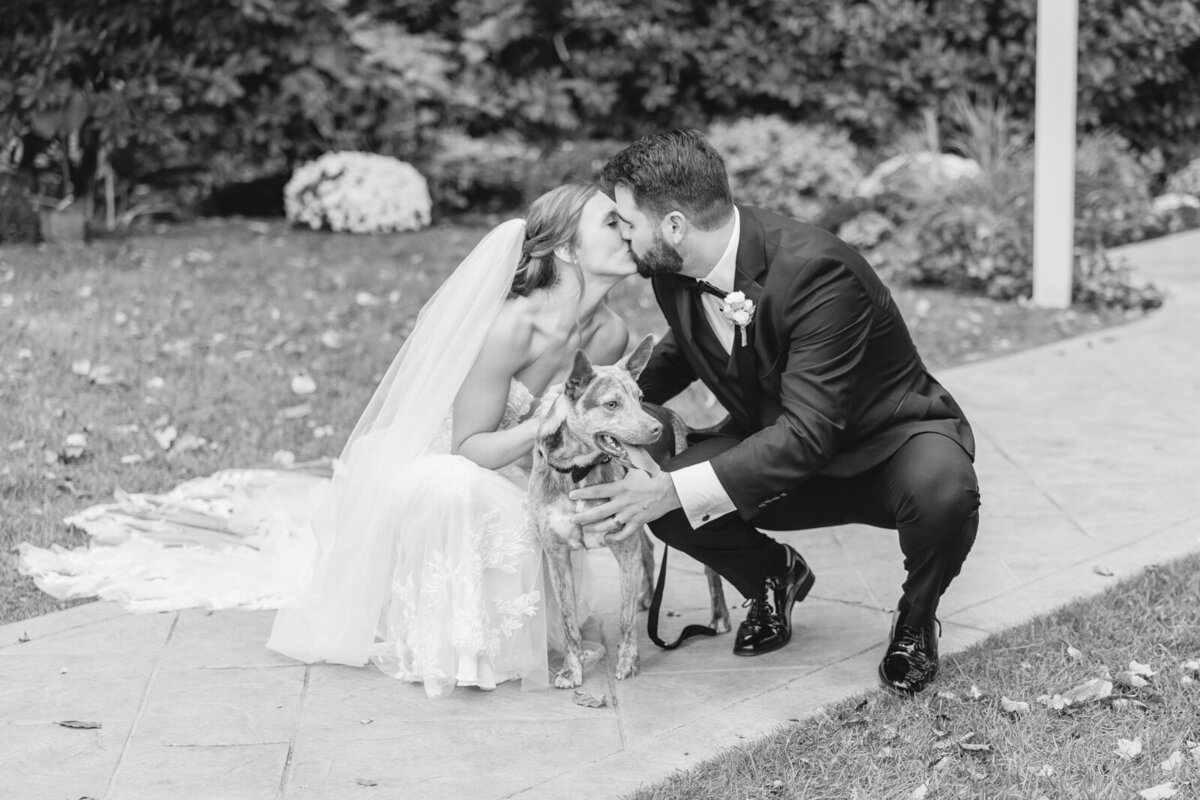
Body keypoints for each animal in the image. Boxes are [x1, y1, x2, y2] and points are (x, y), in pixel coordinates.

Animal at [528, 331, 729, 690]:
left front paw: (627, 662)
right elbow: (568, 622)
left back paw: (718, 617)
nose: (656, 429)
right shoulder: (557, 555)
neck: (577, 470)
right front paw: (572, 670)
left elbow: (624, 619)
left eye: (639, 397)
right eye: (611, 404)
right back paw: (646, 595)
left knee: (709, 569)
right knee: (647, 549)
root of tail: (671, 414)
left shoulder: (623, 544)